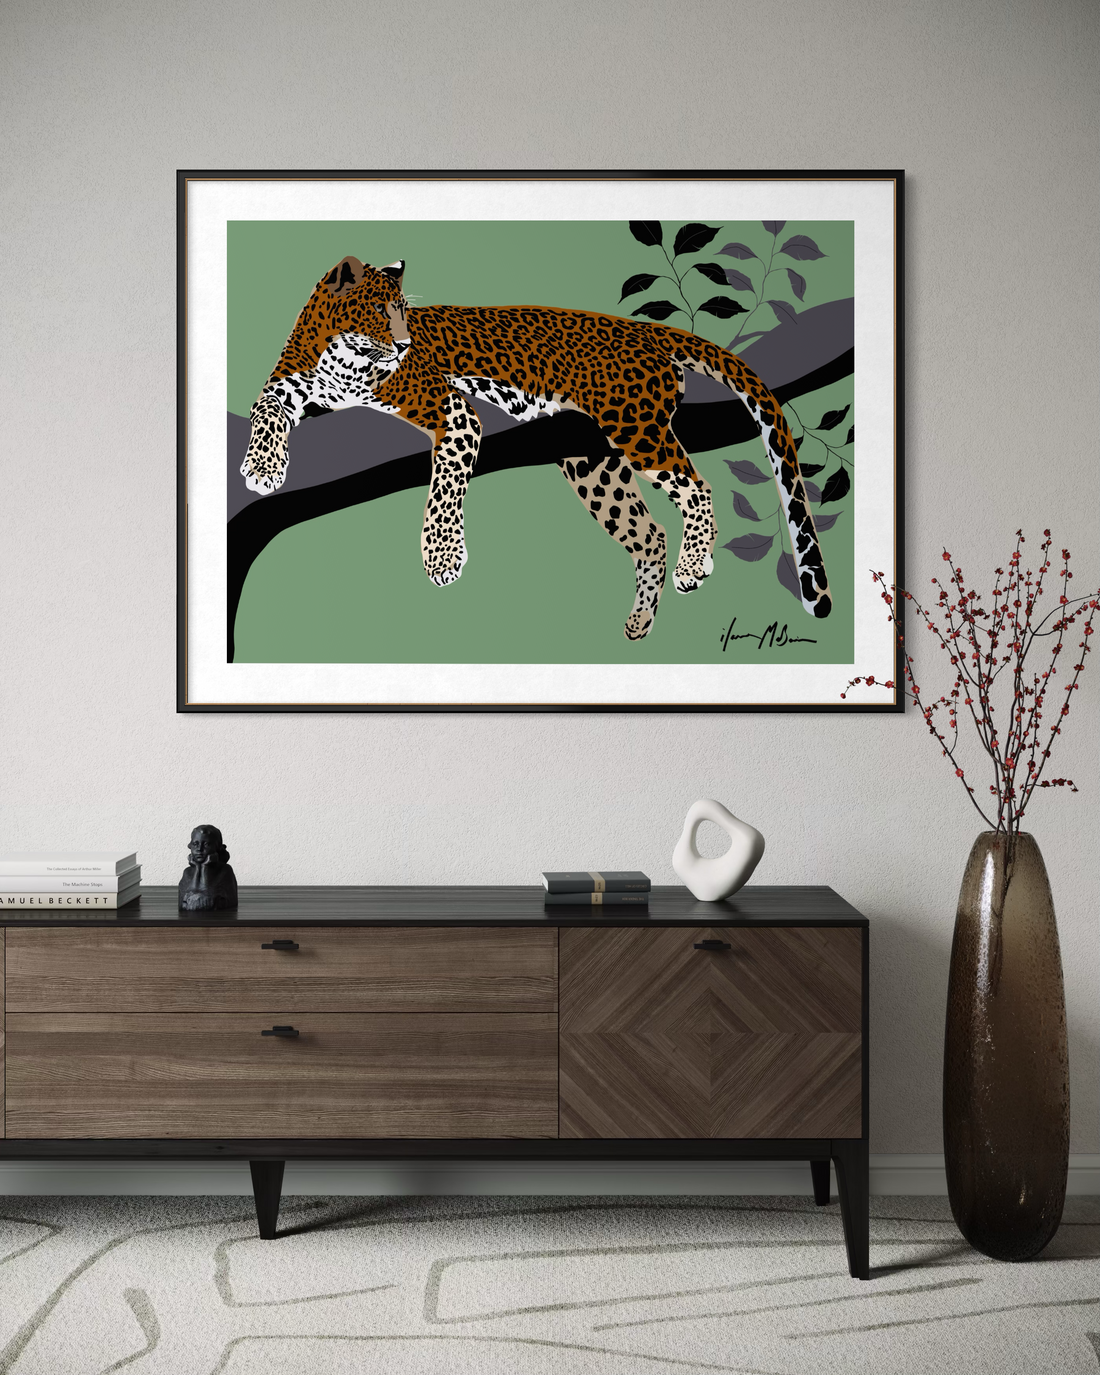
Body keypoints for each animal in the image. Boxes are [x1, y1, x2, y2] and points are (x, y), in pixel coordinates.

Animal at [241, 255, 831, 640]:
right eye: (380, 310)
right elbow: (266, 408)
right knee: (649, 535)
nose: (407, 343)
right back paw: (641, 619)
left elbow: (445, 486)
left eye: (405, 311)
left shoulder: (452, 409)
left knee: (696, 486)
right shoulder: (293, 385)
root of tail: (644, 330)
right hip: (592, 463)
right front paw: (262, 468)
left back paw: (693, 565)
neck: (338, 362)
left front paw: (443, 557)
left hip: (635, 428)